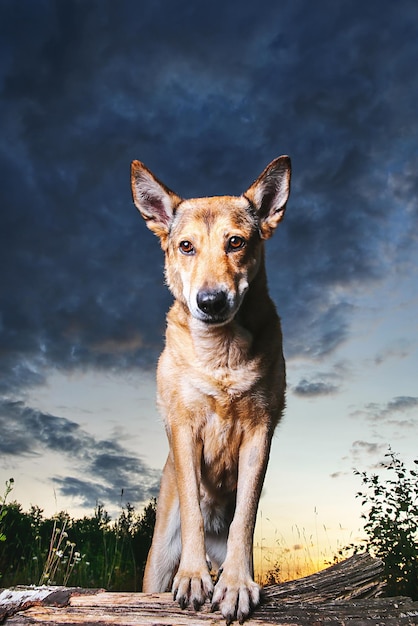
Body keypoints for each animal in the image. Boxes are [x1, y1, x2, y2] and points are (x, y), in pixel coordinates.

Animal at [131, 154, 290, 620]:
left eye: (235, 242)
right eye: (186, 247)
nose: (211, 302)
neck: (220, 355)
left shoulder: (259, 434)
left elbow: (245, 518)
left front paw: (235, 583)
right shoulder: (184, 430)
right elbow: (192, 513)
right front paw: (193, 576)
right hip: (156, 564)